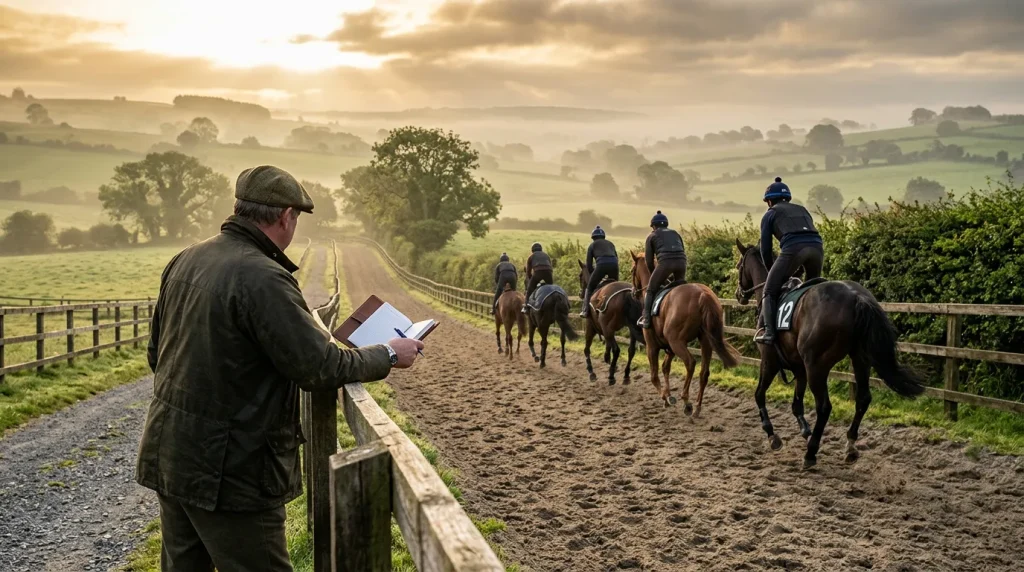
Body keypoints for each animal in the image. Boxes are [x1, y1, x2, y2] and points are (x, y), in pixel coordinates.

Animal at [629, 252, 741, 416]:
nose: (633, 292)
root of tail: (702, 295)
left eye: (632, 270)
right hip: (705, 341)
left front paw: (665, 397)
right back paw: (697, 407)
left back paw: (687, 401)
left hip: (677, 342)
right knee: (704, 372)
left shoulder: (652, 346)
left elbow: (654, 376)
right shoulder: (669, 349)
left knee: (690, 363)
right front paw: (668, 395)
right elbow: (665, 368)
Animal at [734, 239, 925, 468]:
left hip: (817, 366)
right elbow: (796, 404)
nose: (738, 294)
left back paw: (811, 453)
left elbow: (759, 395)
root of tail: (856, 297)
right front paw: (805, 430)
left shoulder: (770, 362)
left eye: (739, 266)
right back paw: (850, 446)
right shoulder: (799, 368)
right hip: (859, 359)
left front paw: (772, 435)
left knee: (824, 407)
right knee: (863, 399)